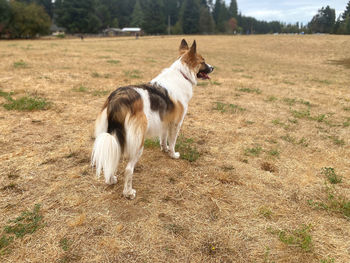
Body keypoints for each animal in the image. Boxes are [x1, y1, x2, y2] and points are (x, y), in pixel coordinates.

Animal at [91, 39, 213, 200]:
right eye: (203, 61)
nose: (213, 67)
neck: (182, 74)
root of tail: (117, 101)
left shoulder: (165, 121)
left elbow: (163, 139)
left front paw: (164, 149)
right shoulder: (176, 123)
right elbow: (172, 142)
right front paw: (173, 154)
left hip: (114, 138)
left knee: (112, 159)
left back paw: (111, 180)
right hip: (138, 143)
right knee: (128, 169)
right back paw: (128, 192)